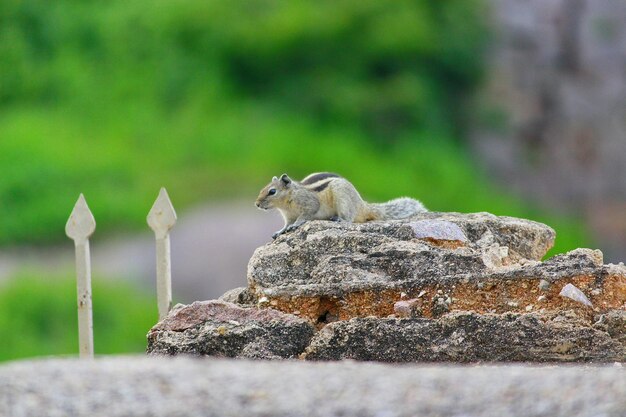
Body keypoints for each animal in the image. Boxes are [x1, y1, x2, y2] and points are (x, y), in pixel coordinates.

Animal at [252, 171, 424, 237]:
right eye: (262, 189)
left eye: (272, 191)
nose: (257, 204)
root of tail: (362, 204)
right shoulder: (288, 215)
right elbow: (286, 225)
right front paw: (280, 231)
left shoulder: (309, 204)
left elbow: (305, 216)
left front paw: (297, 225)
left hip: (342, 199)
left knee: (349, 219)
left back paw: (339, 219)